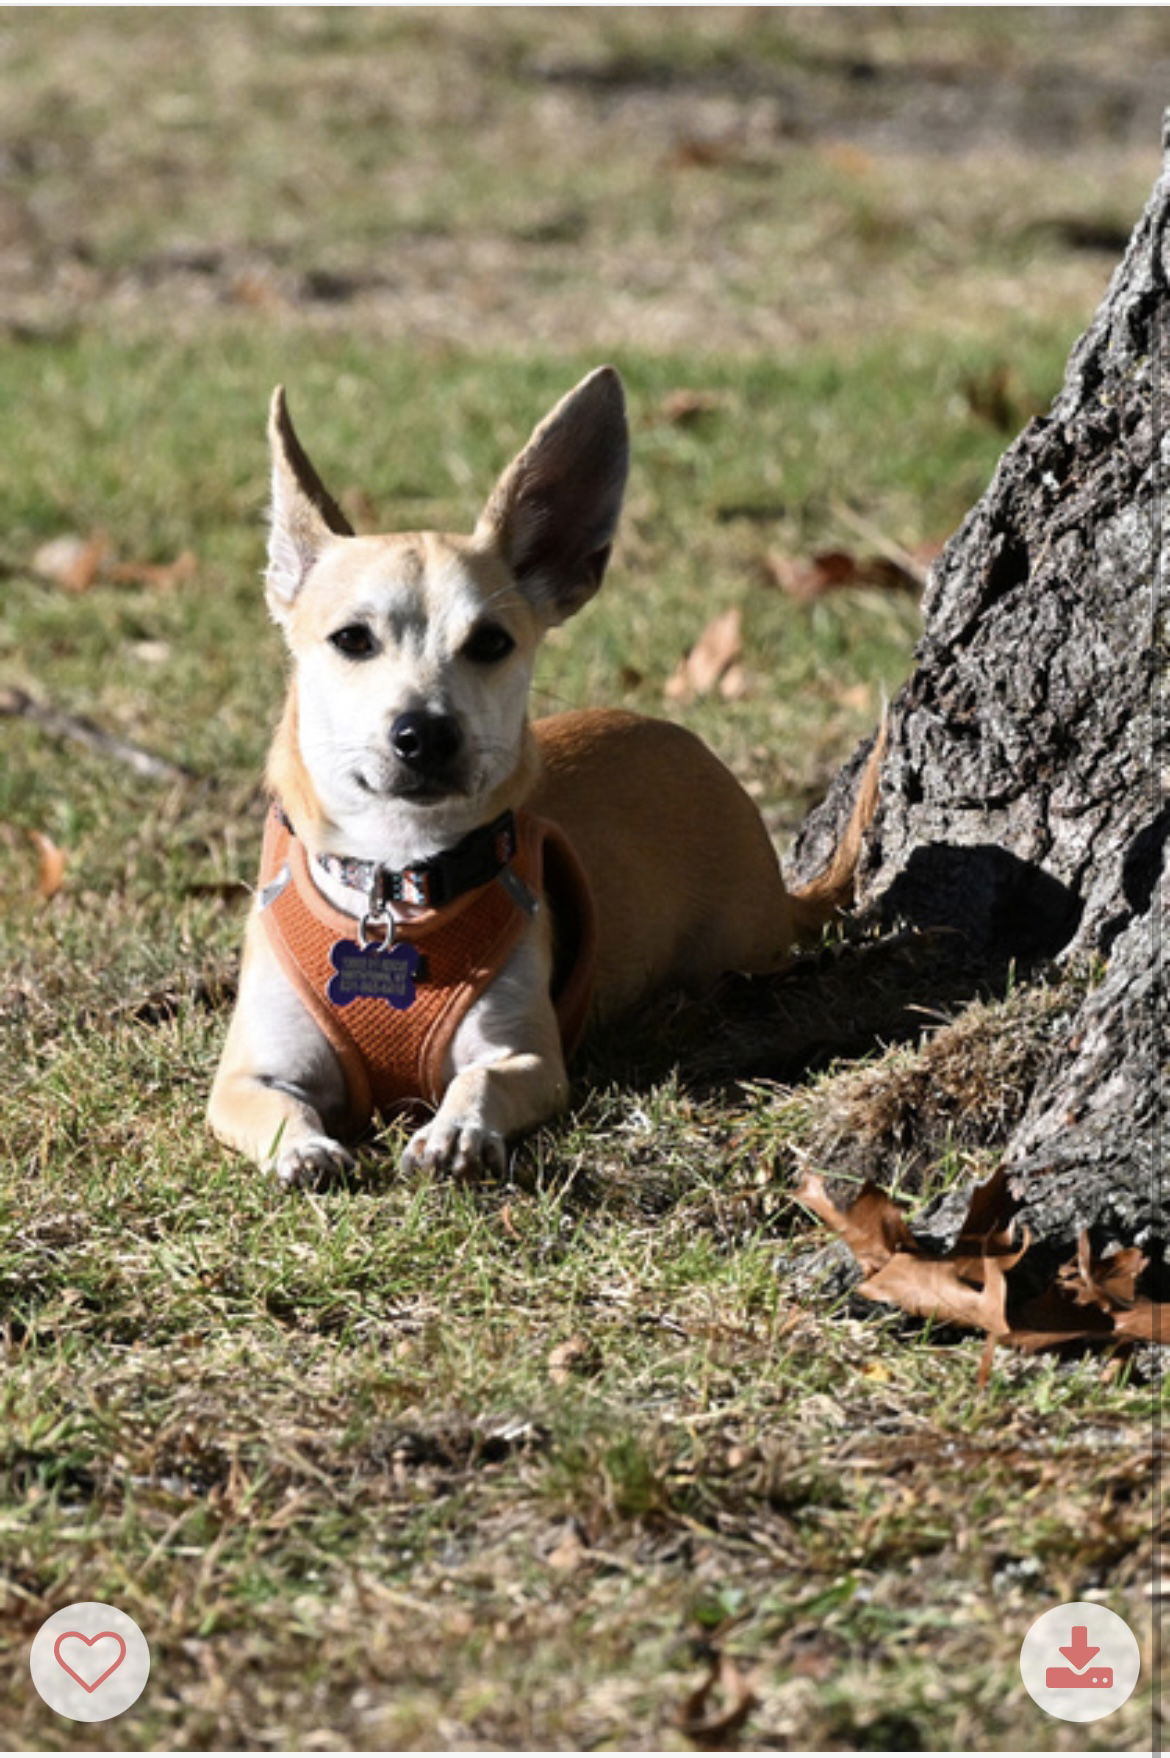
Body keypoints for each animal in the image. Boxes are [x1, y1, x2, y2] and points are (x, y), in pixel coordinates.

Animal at [207, 374, 874, 1195]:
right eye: (352, 640)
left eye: (491, 643)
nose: (426, 731)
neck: (396, 878)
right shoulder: (244, 1078)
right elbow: (278, 1108)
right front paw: (304, 1147)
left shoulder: (525, 1056)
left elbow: (479, 1081)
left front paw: (455, 1132)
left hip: (735, 950)